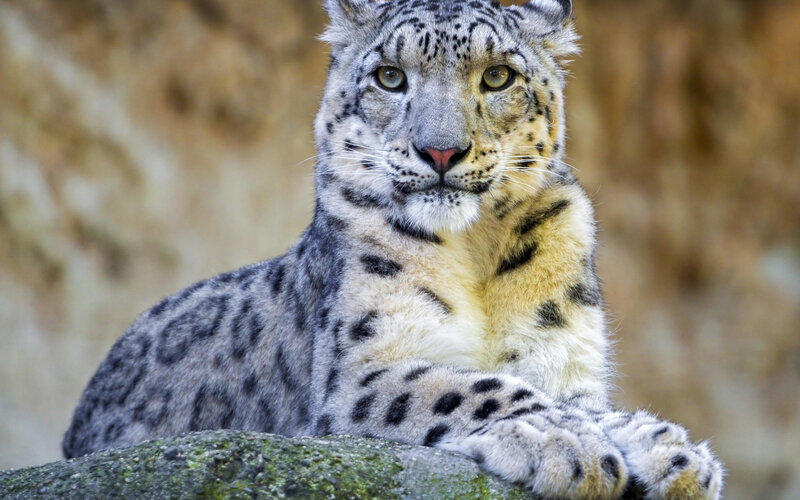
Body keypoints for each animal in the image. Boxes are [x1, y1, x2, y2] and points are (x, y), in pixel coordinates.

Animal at [63, 1, 724, 498]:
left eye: (498, 76)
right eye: (389, 76)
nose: (440, 151)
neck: (476, 251)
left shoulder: (561, 358)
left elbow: (579, 401)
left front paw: (670, 450)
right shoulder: (359, 372)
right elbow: (475, 386)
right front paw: (567, 444)